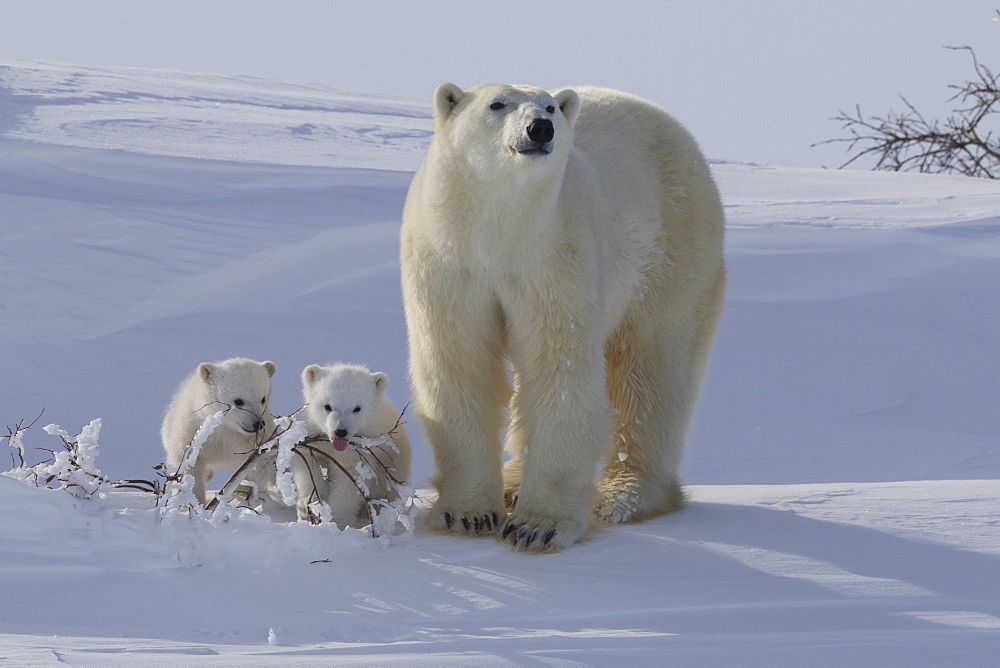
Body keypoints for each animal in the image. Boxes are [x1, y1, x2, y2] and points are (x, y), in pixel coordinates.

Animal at [161, 358, 278, 504]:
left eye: (263, 399)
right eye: (239, 401)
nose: (258, 424)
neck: (224, 426)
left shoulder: (250, 440)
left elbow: (263, 462)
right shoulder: (193, 430)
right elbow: (190, 464)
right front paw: (192, 502)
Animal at [292, 366, 410, 528]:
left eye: (357, 408)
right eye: (327, 406)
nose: (340, 431)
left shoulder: (361, 448)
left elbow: (349, 479)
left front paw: (336, 520)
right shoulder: (313, 433)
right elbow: (308, 463)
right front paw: (309, 504)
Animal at [400, 82, 728, 552]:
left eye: (550, 106)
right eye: (497, 104)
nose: (540, 128)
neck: (498, 233)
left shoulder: (555, 255)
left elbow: (558, 367)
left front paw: (537, 525)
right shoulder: (449, 263)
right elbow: (460, 363)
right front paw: (468, 513)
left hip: (673, 247)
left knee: (653, 368)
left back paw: (625, 494)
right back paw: (512, 484)